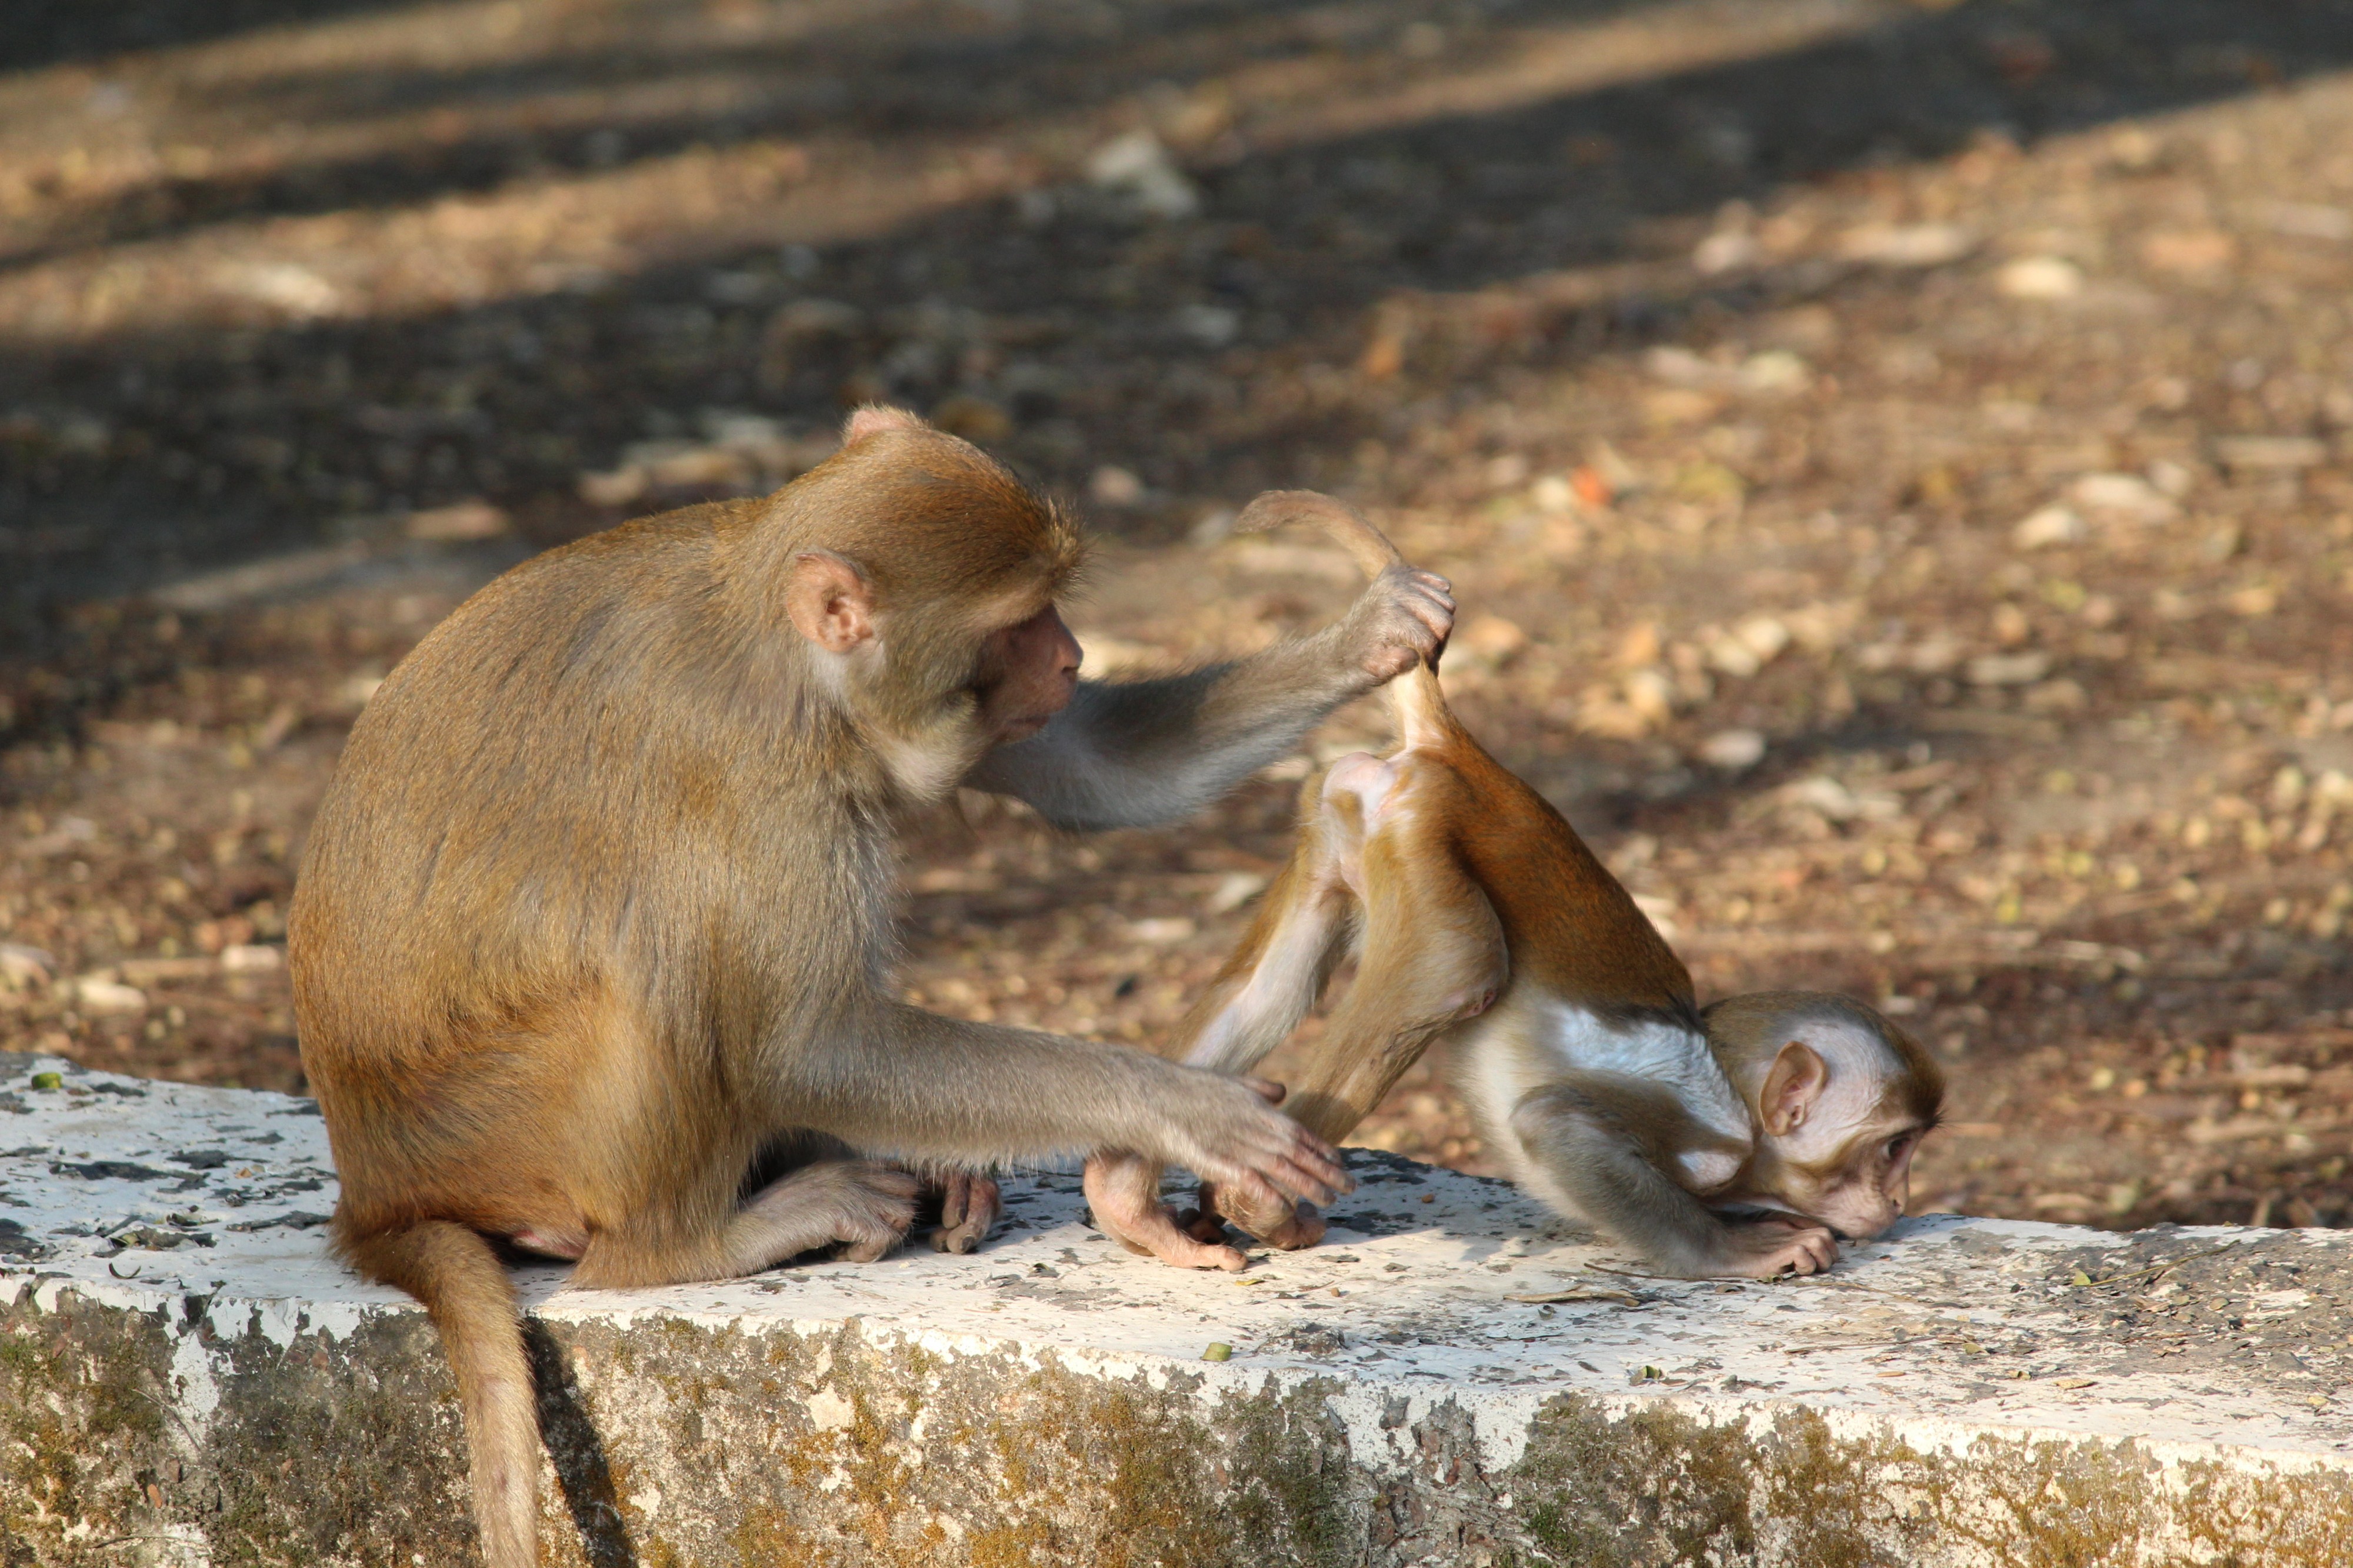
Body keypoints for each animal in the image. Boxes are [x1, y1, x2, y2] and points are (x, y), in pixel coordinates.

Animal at [287, 411, 1455, 1568]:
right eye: (1018, 621)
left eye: (1053, 614)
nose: (1070, 656)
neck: (789, 662)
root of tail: (376, 1188)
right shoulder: (755, 779)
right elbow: (807, 1045)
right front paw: (1182, 1108)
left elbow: (1092, 768)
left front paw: (1372, 631)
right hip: (503, 1128)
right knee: (665, 964)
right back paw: (683, 1245)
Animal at [1083, 492, 1943, 1279]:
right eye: (1892, 1147)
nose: (1900, 1199)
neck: (1734, 1090)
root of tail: (1469, 757)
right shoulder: (1703, 1136)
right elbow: (1553, 1119)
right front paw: (1734, 1249)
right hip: (1426, 821)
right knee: (1453, 968)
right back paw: (1255, 1197)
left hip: (1360, 812)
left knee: (1273, 984)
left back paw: (1123, 1192)